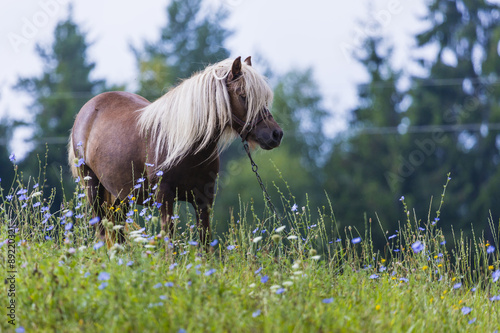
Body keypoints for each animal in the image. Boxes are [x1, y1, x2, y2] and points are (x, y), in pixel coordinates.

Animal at [68, 55, 284, 246]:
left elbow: (205, 241)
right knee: (102, 231)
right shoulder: (164, 197)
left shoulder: (204, 200)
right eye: (243, 96)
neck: (187, 148)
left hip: (120, 196)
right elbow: (168, 241)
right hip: (93, 188)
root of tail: (88, 109)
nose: (276, 134)